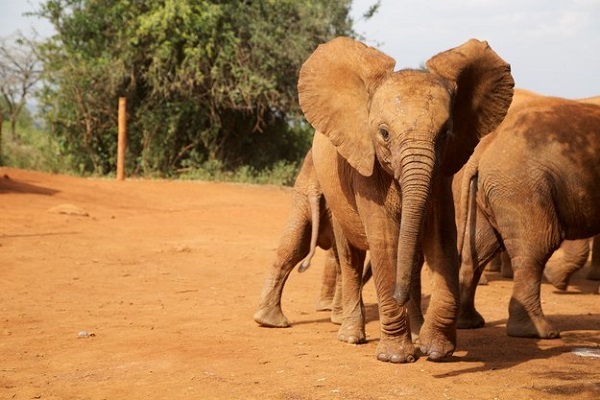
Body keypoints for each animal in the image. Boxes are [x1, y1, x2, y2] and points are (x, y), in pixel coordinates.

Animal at [298, 37, 512, 362]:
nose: (399, 295)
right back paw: (351, 336)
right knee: (350, 257)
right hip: (334, 194)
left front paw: (436, 350)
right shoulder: (365, 167)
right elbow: (386, 242)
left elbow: (442, 239)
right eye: (384, 133)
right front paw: (397, 357)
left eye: (445, 134)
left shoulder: (440, 175)